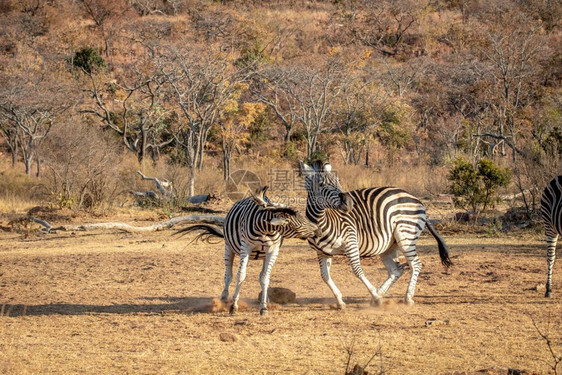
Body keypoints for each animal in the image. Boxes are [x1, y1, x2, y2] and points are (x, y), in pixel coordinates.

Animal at [178, 187, 320, 314]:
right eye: (299, 222)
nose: (318, 230)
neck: (265, 230)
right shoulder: (245, 247)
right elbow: (240, 275)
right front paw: (233, 306)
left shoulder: (273, 250)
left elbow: (265, 278)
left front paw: (264, 307)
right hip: (228, 247)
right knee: (228, 275)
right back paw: (224, 298)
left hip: (263, 255)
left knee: (262, 276)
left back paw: (267, 300)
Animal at [298, 161, 450, 308]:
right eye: (321, 184)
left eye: (338, 181)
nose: (349, 203)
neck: (322, 222)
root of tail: (414, 198)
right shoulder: (322, 252)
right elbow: (325, 276)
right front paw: (340, 301)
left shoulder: (350, 241)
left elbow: (357, 270)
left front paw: (375, 296)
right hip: (390, 244)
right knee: (396, 270)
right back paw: (380, 293)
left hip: (406, 235)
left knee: (415, 264)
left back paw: (406, 298)